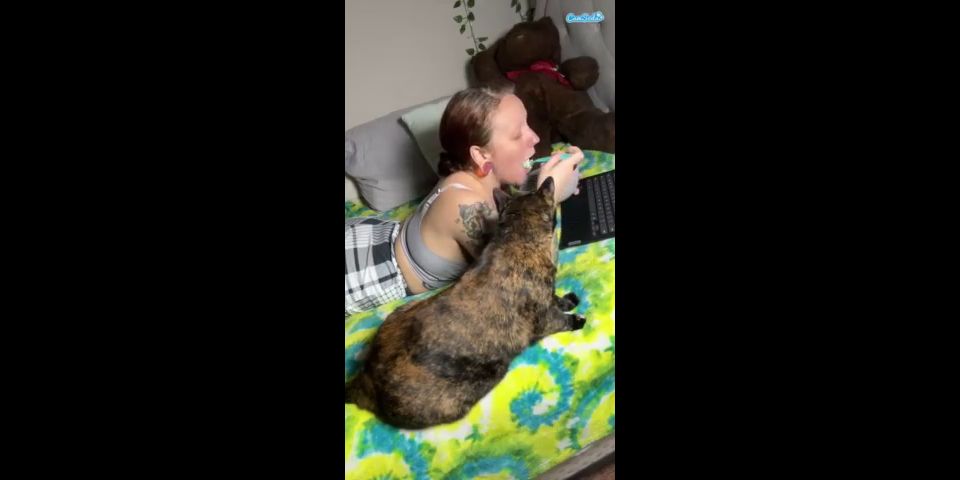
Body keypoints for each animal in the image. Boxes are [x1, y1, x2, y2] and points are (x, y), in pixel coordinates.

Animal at [344, 177, 586, 429]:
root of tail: (365, 379)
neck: (517, 238)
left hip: (400, 310)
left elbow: (555, 299)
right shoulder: (543, 320)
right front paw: (577, 319)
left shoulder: (547, 296)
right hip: (474, 385)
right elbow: (560, 319)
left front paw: (568, 300)